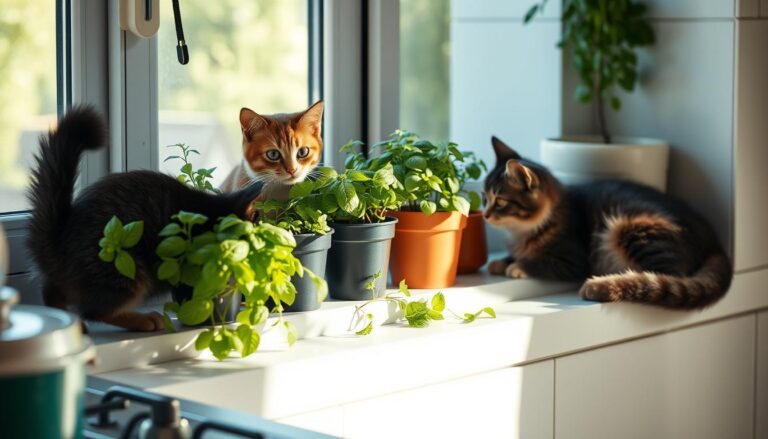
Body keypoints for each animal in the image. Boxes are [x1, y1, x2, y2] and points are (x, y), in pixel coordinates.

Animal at [27, 106, 264, 332]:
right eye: (257, 220)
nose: (263, 235)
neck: (211, 213)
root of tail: (59, 240)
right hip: (126, 270)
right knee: (95, 311)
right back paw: (144, 320)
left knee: (52, 292)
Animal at [486, 138, 732, 310]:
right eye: (484, 196)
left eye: (500, 201)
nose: (485, 215)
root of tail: (714, 241)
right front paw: (501, 261)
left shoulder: (572, 260)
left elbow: (539, 261)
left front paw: (516, 265)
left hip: (633, 229)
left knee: (667, 276)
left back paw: (602, 284)